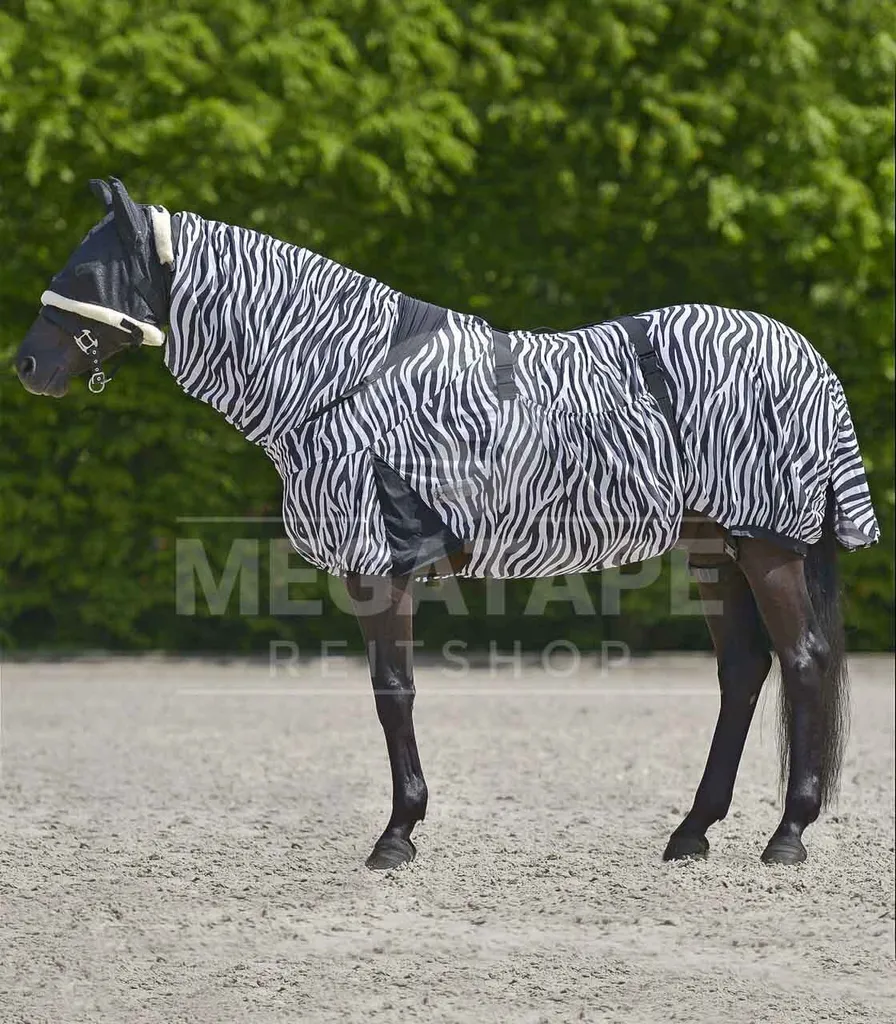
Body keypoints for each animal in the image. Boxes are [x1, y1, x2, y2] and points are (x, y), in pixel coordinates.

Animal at [15, 178, 879, 871]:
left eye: (86, 271)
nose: (26, 366)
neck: (341, 377)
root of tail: (807, 356)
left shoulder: (379, 565)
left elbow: (392, 692)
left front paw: (396, 835)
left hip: (766, 547)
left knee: (803, 662)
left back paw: (787, 836)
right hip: (714, 548)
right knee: (743, 671)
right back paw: (692, 832)